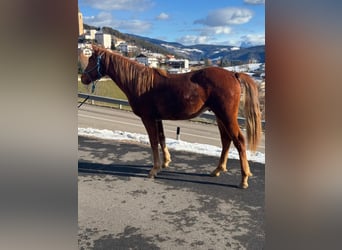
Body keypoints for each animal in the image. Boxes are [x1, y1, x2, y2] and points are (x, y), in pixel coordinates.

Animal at [81, 45, 262, 188]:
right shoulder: (157, 118)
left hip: (226, 116)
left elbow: (153, 142)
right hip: (220, 117)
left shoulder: (148, 118)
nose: (83, 78)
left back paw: (244, 178)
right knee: (226, 141)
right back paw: (218, 170)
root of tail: (233, 74)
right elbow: (162, 138)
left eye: (91, 59)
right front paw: (165, 162)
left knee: (239, 141)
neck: (139, 83)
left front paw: (154, 170)